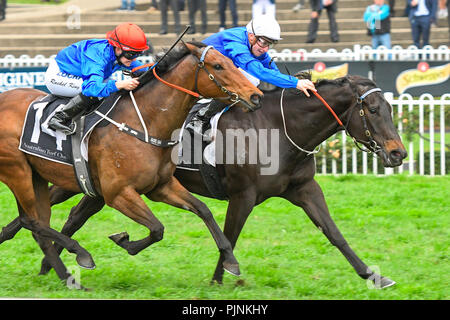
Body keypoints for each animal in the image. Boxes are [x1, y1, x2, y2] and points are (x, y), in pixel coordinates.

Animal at [0, 41, 264, 286]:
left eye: (232, 62)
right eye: (218, 66)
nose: (256, 96)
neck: (144, 122)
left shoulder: (162, 186)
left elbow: (203, 210)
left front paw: (230, 260)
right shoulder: (118, 193)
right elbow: (157, 228)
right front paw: (124, 240)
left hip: (38, 175)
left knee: (36, 221)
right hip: (18, 170)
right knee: (32, 220)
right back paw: (80, 255)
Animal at [0, 74, 408, 288]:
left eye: (391, 108)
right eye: (373, 110)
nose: (398, 154)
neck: (278, 128)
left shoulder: (304, 188)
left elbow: (334, 233)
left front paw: (372, 274)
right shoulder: (243, 195)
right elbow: (231, 234)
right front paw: (220, 278)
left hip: (98, 188)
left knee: (61, 217)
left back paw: (50, 264)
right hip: (75, 179)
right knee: (39, 215)